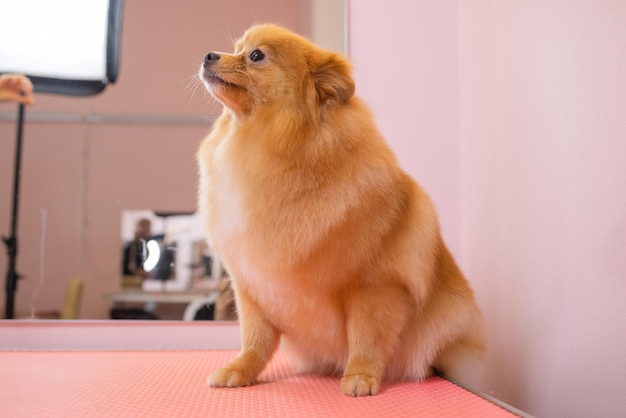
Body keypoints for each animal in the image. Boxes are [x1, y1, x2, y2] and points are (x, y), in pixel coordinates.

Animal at [196, 22, 482, 396]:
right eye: (236, 49)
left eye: (256, 55)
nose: (208, 55)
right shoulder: (252, 285)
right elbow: (256, 340)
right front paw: (240, 370)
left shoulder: (374, 285)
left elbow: (366, 337)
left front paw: (360, 375)